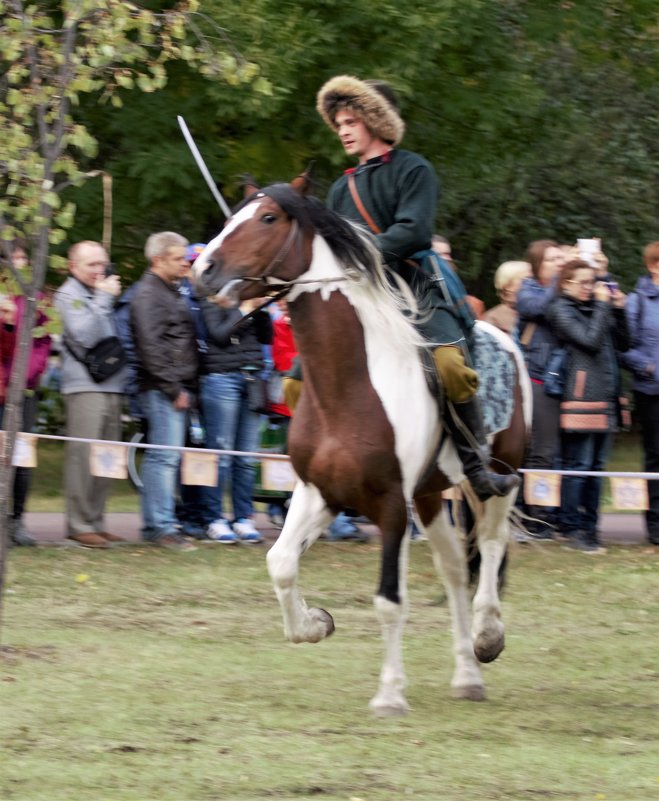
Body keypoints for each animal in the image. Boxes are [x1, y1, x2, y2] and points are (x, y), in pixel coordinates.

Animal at [192, 177, 532, 712]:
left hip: (499, 472)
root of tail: (505, 335)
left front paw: (390, 693)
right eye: (233, 218)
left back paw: (487, 637)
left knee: (493, 545)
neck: (350, 383)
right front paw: (314, 624)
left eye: (267, 218)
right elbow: (281, 563)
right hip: (430, 495)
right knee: (456, 568)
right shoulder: (320, 493)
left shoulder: (391, 504)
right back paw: (466, 675)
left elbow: (389, 600)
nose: (203, 270)